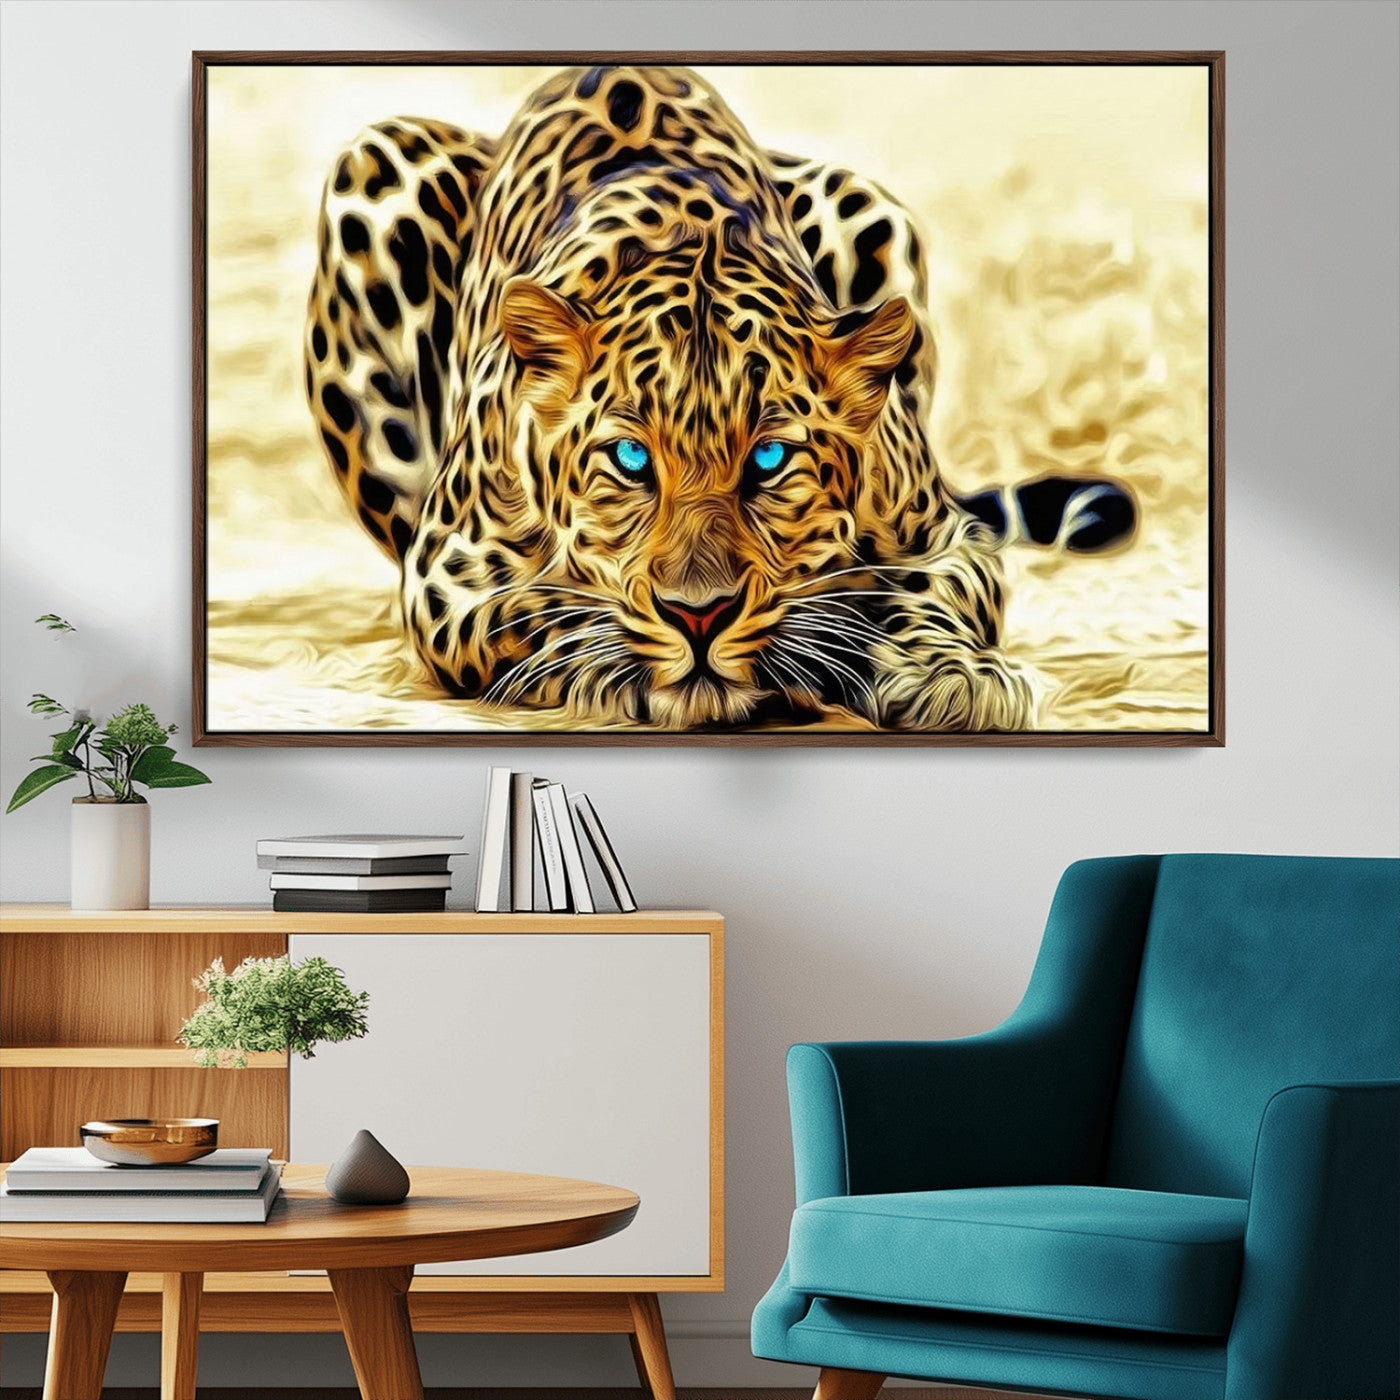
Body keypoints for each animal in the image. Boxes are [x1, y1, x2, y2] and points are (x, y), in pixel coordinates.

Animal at [304, 64, 1132, 732]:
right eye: (630, 458)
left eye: (769, 459)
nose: (698, 615)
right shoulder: (449, 572)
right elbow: (540, 610)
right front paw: (617, 664)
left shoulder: (944, 536)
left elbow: (930, 593)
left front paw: (954, 674)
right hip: (376, 165)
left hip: (865, 204)